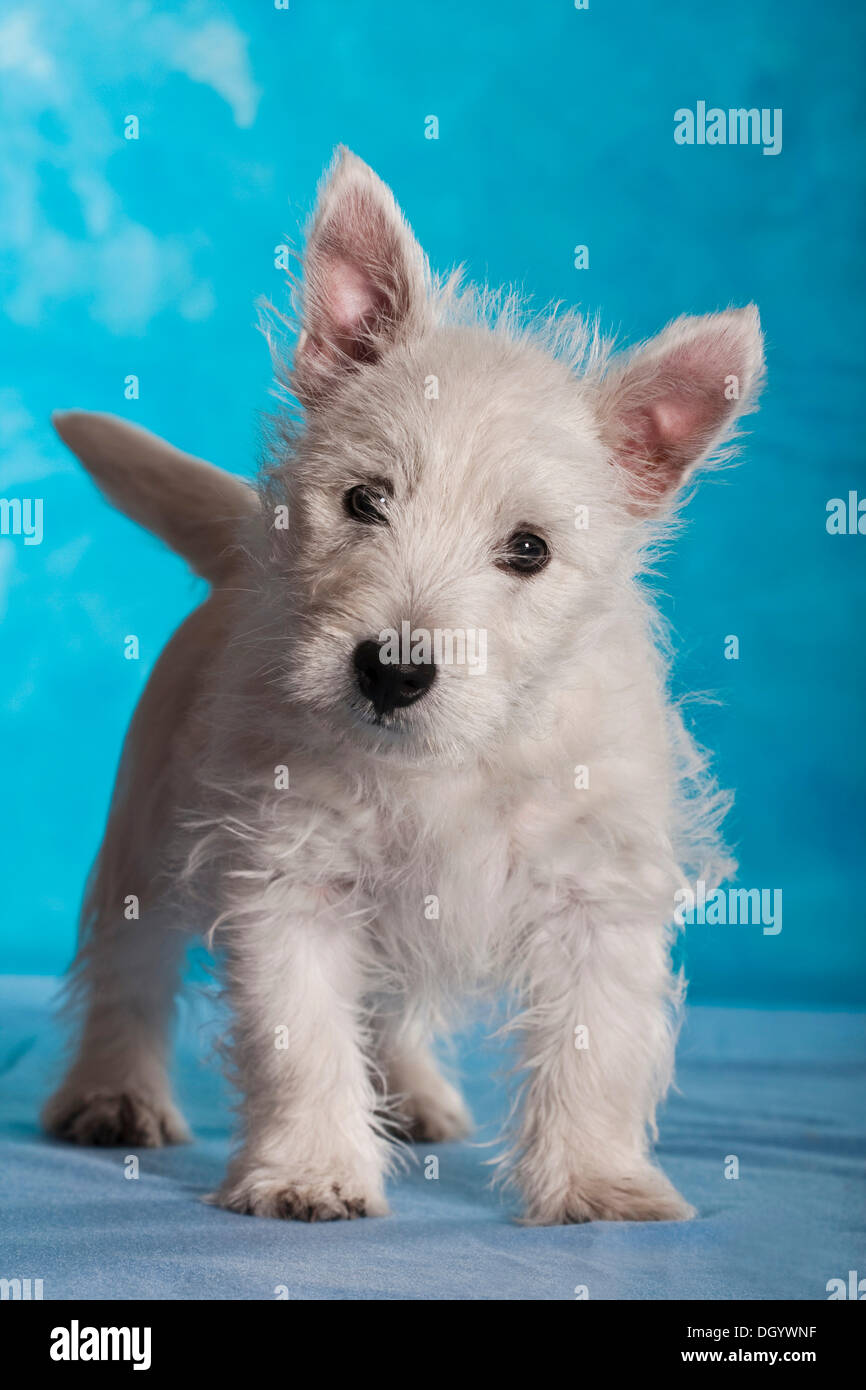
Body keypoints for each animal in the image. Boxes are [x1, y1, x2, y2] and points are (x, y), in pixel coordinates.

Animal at [44, 146, 767, 1223]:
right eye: (363, 501)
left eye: (528, 549)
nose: (391, 671)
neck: (451, 763)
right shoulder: (290, 874)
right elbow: (302, 1035)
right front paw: (310, 1168)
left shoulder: (596, 890)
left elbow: (595, 1045)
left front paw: (596, 1178)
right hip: (144, 828)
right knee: (129, 966)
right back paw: (113, 1092)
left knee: (388, 1005)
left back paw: (414, 1092)